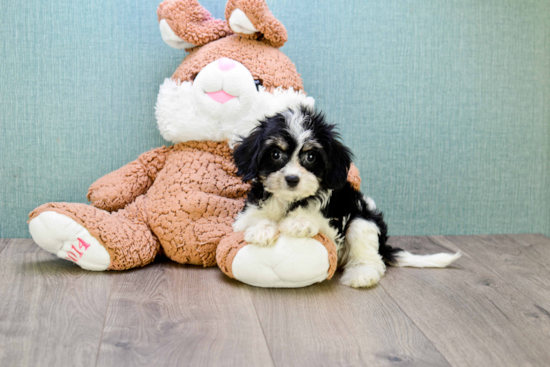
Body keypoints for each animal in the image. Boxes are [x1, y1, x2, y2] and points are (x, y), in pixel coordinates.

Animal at [233, 105, 462, 288]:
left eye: (311, 157)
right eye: (275, 154)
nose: (292, 179)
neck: (291, 200)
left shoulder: (333, 229)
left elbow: (317, 218)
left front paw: (298, 222)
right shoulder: (244, 217)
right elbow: (252, 219)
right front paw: (261, 229)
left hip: (363, 221)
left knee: (370, 256)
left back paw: (362, 275)